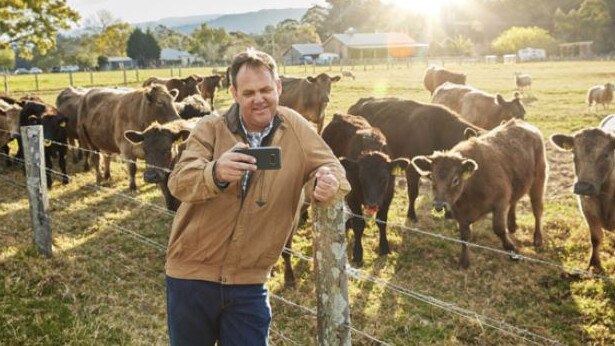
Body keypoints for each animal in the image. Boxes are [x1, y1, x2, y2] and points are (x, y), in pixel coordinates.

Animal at [322, 112, 410, 264]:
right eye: (361, 177)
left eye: (384, 178)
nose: (372, 204)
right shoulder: (353, 197)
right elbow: (359, 224)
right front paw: (358, 253)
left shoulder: (388, 196)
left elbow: (382, 221)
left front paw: (384, 247)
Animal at [412, 120, 548, 268]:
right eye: (432, 177)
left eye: (455, 180)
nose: (438, 205)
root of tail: (519, 122)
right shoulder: (461, 216)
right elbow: (464, 237)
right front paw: (464, 261)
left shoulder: (500, 202)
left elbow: (499, 229)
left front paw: (512, 251)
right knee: (515, 200)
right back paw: (512, 224)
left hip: (538, 181)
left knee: (537, 209)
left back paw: (538, 238)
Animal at [552, 124, 615, 274]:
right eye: (574, 154)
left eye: (606, 155)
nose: (583, 187)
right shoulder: (588, 210)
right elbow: (596, 238)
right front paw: (594, 264)